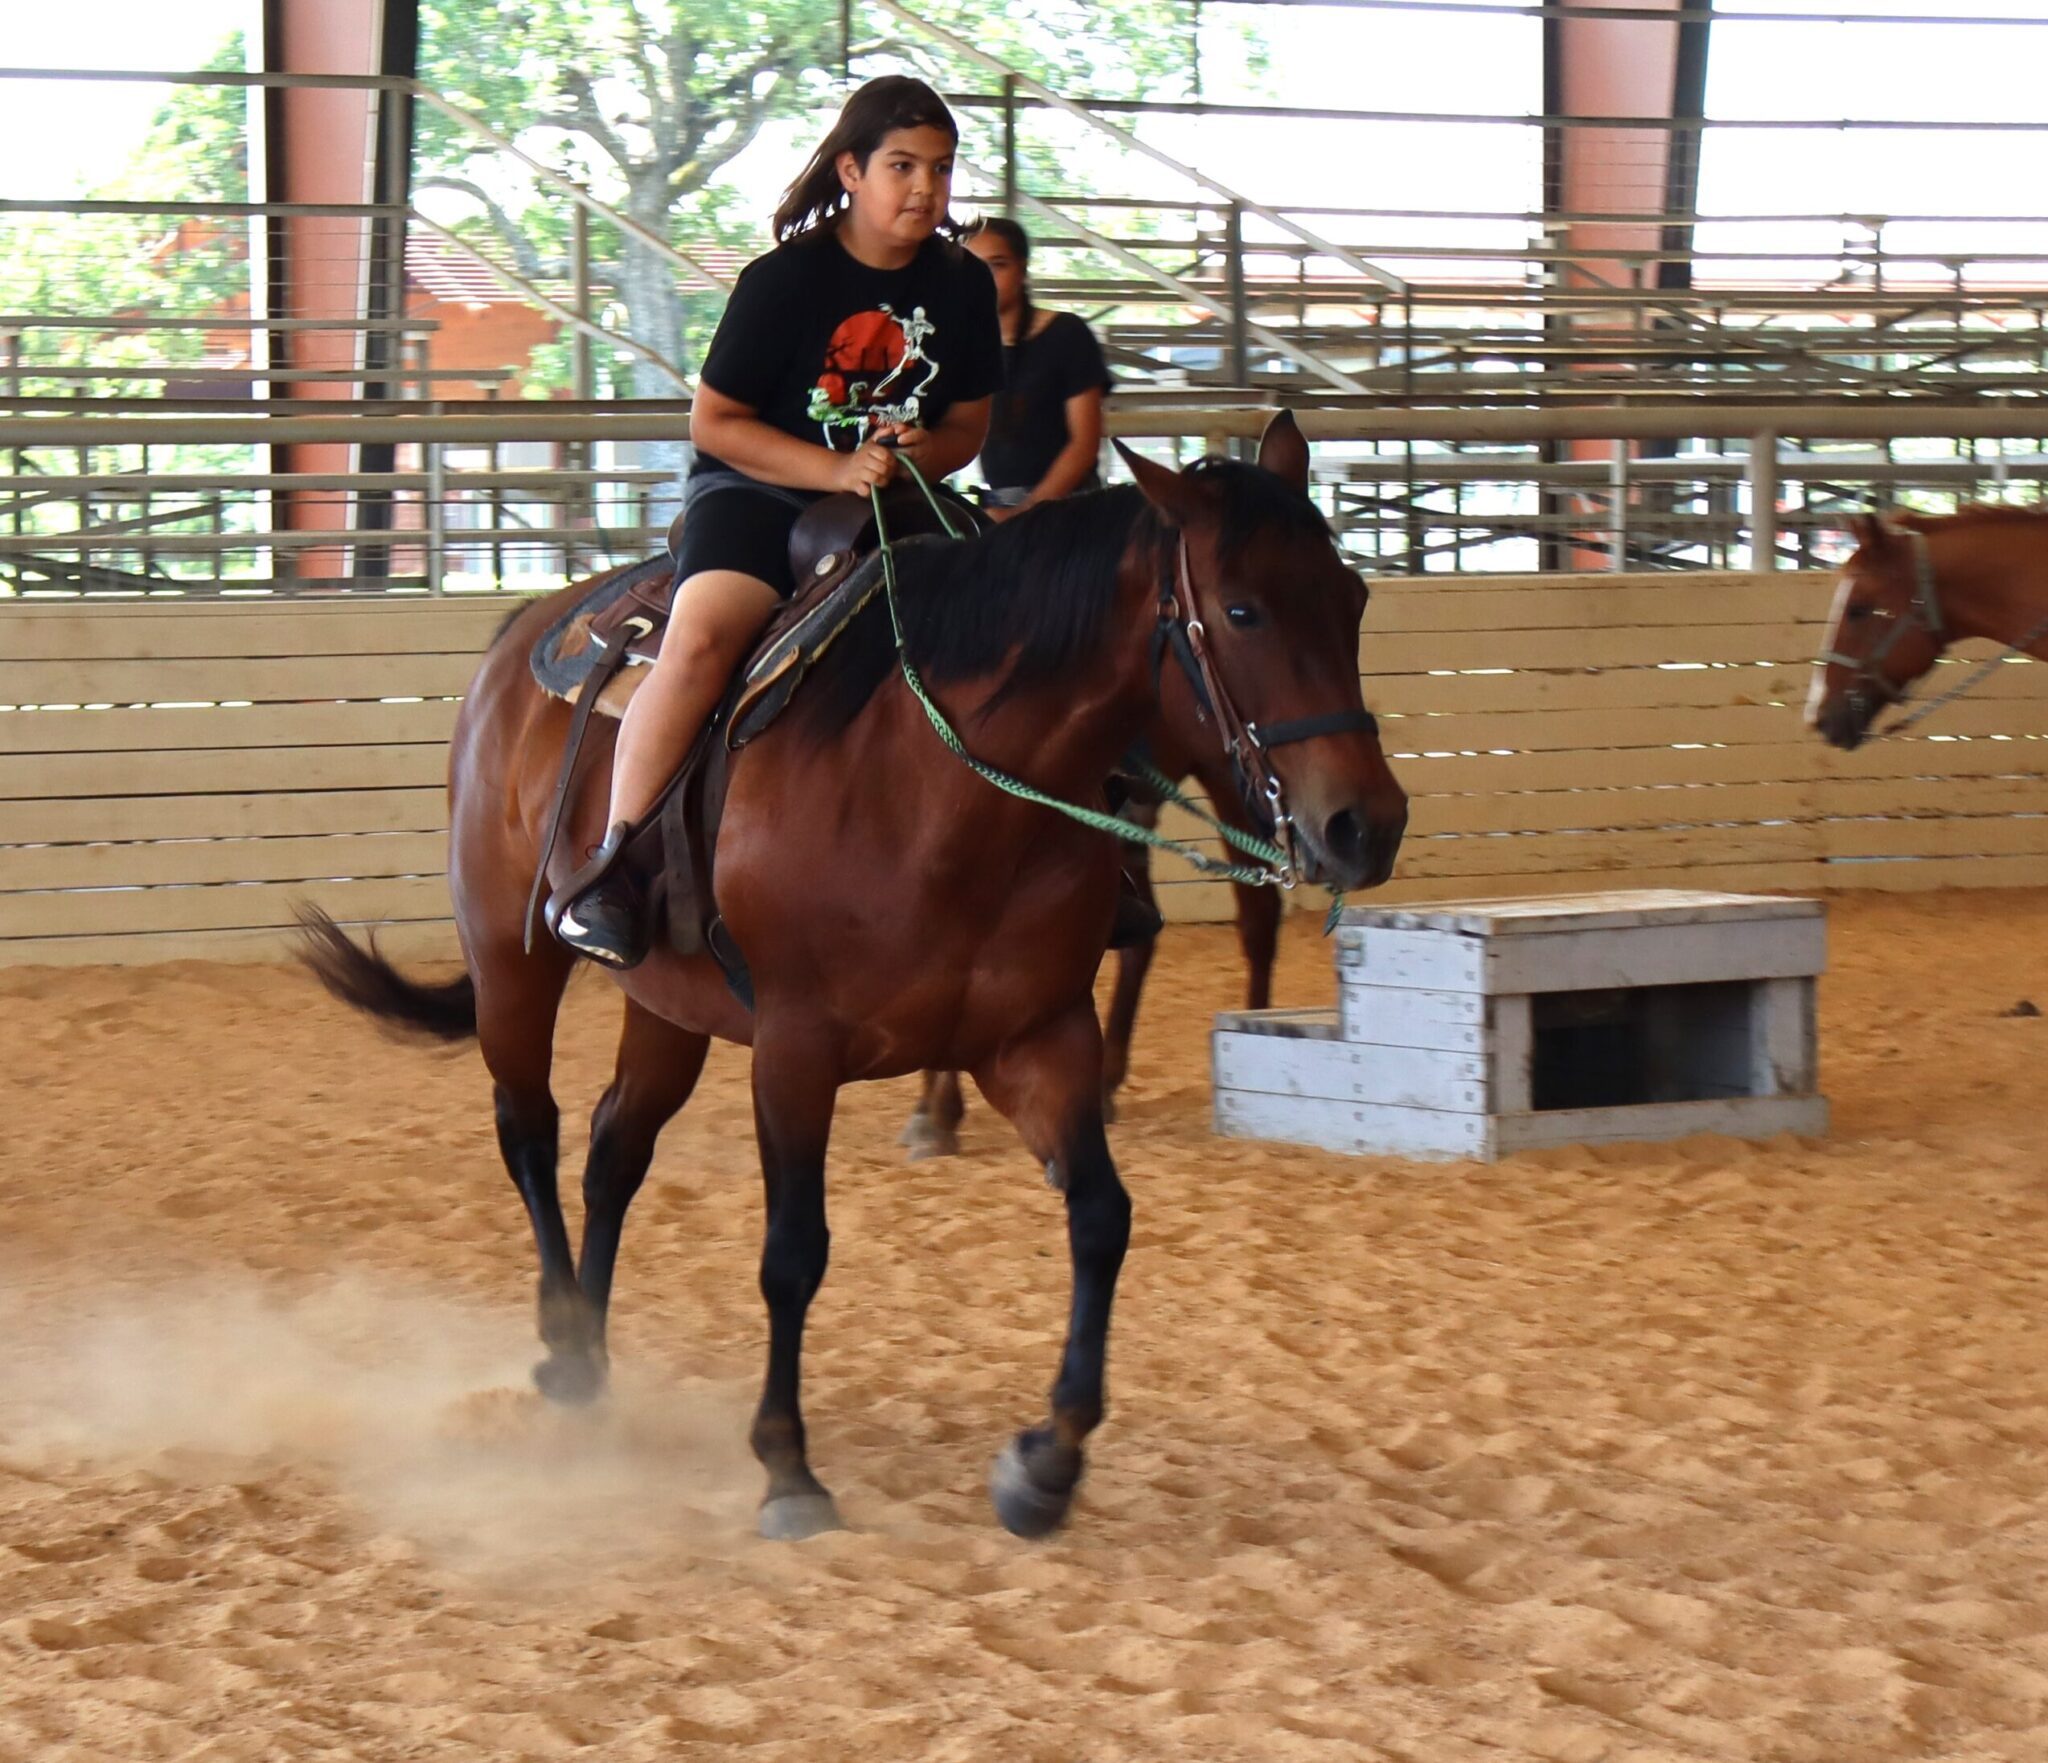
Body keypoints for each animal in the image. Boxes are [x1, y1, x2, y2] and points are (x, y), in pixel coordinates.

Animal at [298, 413, 1408, 1541]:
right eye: (1242, 608)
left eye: (1354, 598)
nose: (1366, 824)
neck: (940, 788)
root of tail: (524, 633)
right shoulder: (795, 1050)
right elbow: (794, 1251)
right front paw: (787, 1466)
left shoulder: (1039, 1034)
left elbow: (1102, 1218)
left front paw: (1045, 1462)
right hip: (512, 957)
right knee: (531, 1130)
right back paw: (564, 1342)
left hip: (669, 1005)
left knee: (614, 1147)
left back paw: (593, 1359)